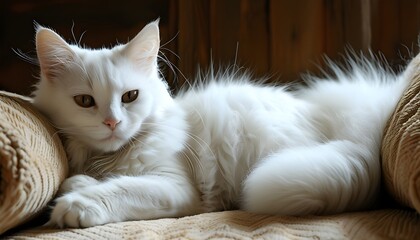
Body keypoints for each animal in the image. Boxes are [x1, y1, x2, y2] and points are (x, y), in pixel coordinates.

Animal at [32, 20, 410, 227]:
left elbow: (124, 188)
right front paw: (79, 184)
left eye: (130, 96)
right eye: (85, 102)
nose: (112, 122)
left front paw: (77, 205)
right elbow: (89, 181)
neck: (109, 158)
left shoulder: (176, 187)